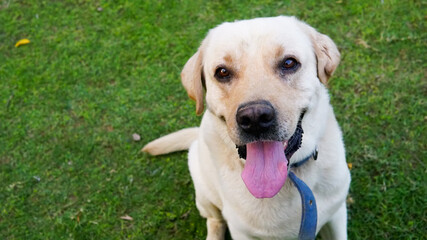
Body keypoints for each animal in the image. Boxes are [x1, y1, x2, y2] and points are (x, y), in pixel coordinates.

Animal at [144, 15, 352, 239]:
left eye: (289, 63)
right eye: (222, 72)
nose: (255, 118)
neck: (289, 178)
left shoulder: (336, 214)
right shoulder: (241, 231)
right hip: (204, 194)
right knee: (214, 220)